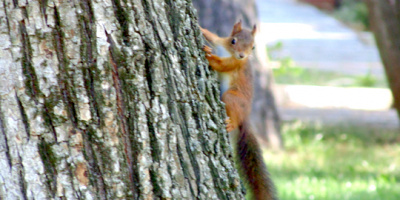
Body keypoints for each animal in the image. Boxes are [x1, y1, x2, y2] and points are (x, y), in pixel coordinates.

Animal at [202, 20, 276, 200]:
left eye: (253, 47)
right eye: (233, 40)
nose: (242, 55)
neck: (229, 51)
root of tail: (245, 117)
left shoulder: (235, 63)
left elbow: (222, 65)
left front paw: (208, 56)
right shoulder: (220, 41)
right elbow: (211, 36)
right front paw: (202, 32)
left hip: (231, 98)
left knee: (233, 116)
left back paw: (231, 124)